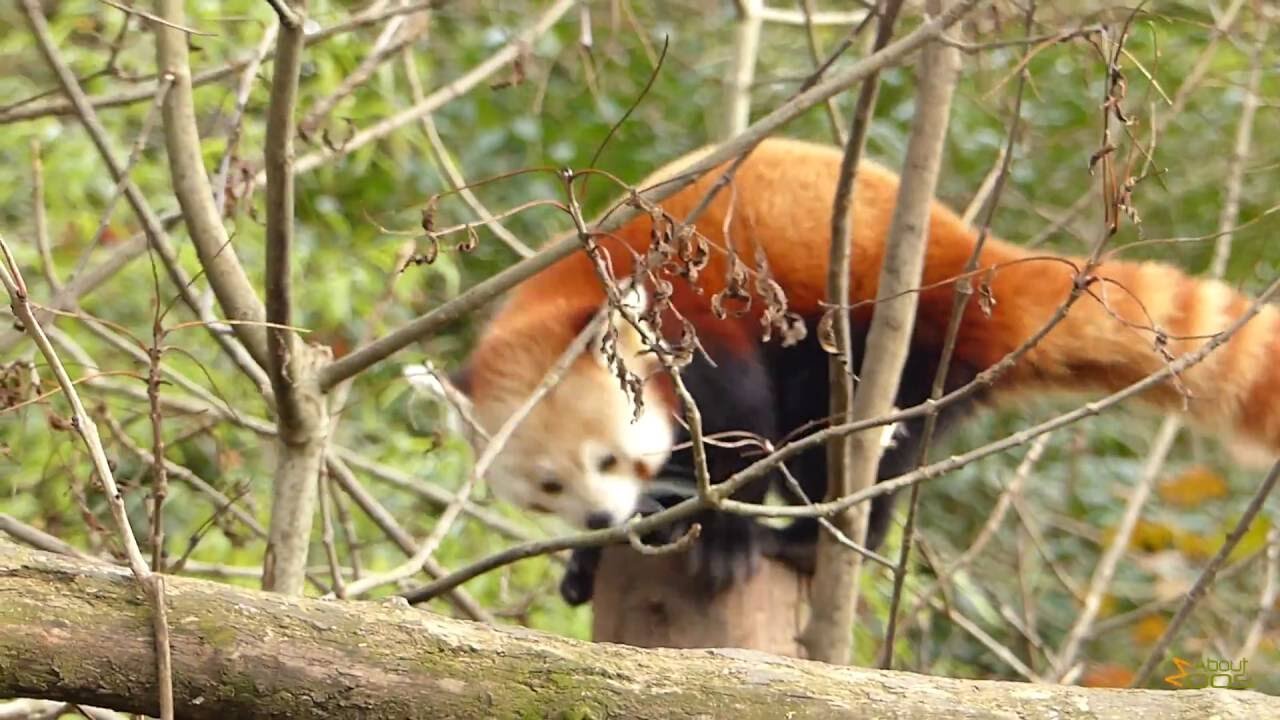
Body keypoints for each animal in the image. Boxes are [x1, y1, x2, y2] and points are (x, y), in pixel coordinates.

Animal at [442, 137, 1280, 602]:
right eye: (549, 487)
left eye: (610, 459)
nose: (598, 518)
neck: (574, 285)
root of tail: (964, 253)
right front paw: (594, 557)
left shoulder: (699, 327)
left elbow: (741, 433)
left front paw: (724, 540)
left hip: (892, 341)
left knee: (848, 440)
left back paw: (811, 540)